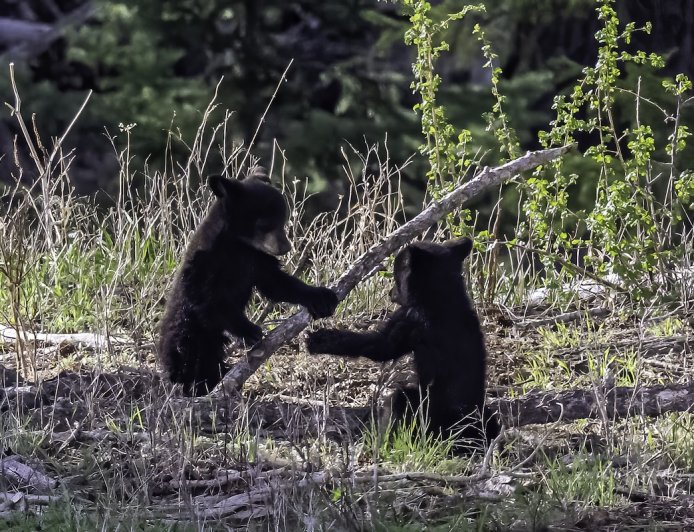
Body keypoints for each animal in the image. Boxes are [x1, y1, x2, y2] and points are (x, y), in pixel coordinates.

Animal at [158, 174, 339, 396]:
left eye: (283, 220)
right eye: (265, 224)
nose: (286, 247)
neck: (239, 245)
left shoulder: (258, 259)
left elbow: (276, 283)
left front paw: (321, 297)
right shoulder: (206, 262)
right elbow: (209, 300)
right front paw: (249, 331)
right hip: (187, 329)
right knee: (186, 355)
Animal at [306, 237, 500, 453]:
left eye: (397, 274)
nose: (390, 292)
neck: (442, 296)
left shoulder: (409, 318)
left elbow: (380, 346)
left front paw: (320, 340)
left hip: (426, 404)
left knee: (398, 401)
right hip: (481, 414)